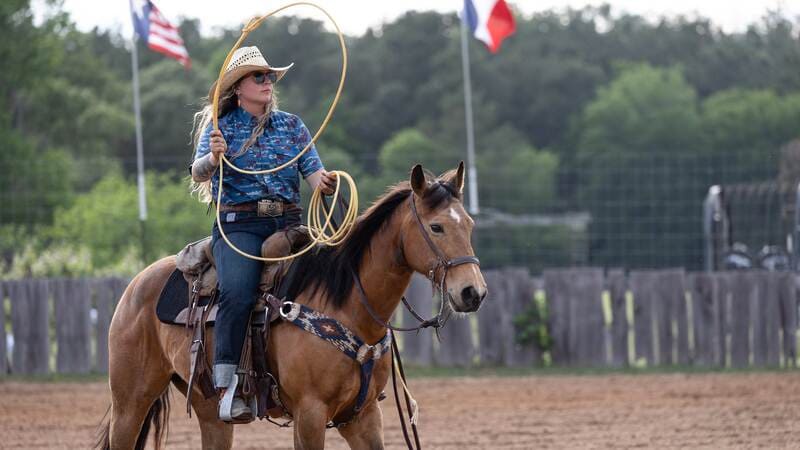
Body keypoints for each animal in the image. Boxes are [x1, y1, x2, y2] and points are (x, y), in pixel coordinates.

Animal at [98, 163, 488, 450]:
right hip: (130, 402)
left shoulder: (361, 417)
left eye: (470, 224)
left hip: (209, 410)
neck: (346, 306)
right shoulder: (309, 414)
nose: (473, 292)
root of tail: (137, 284)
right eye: (436, 227)